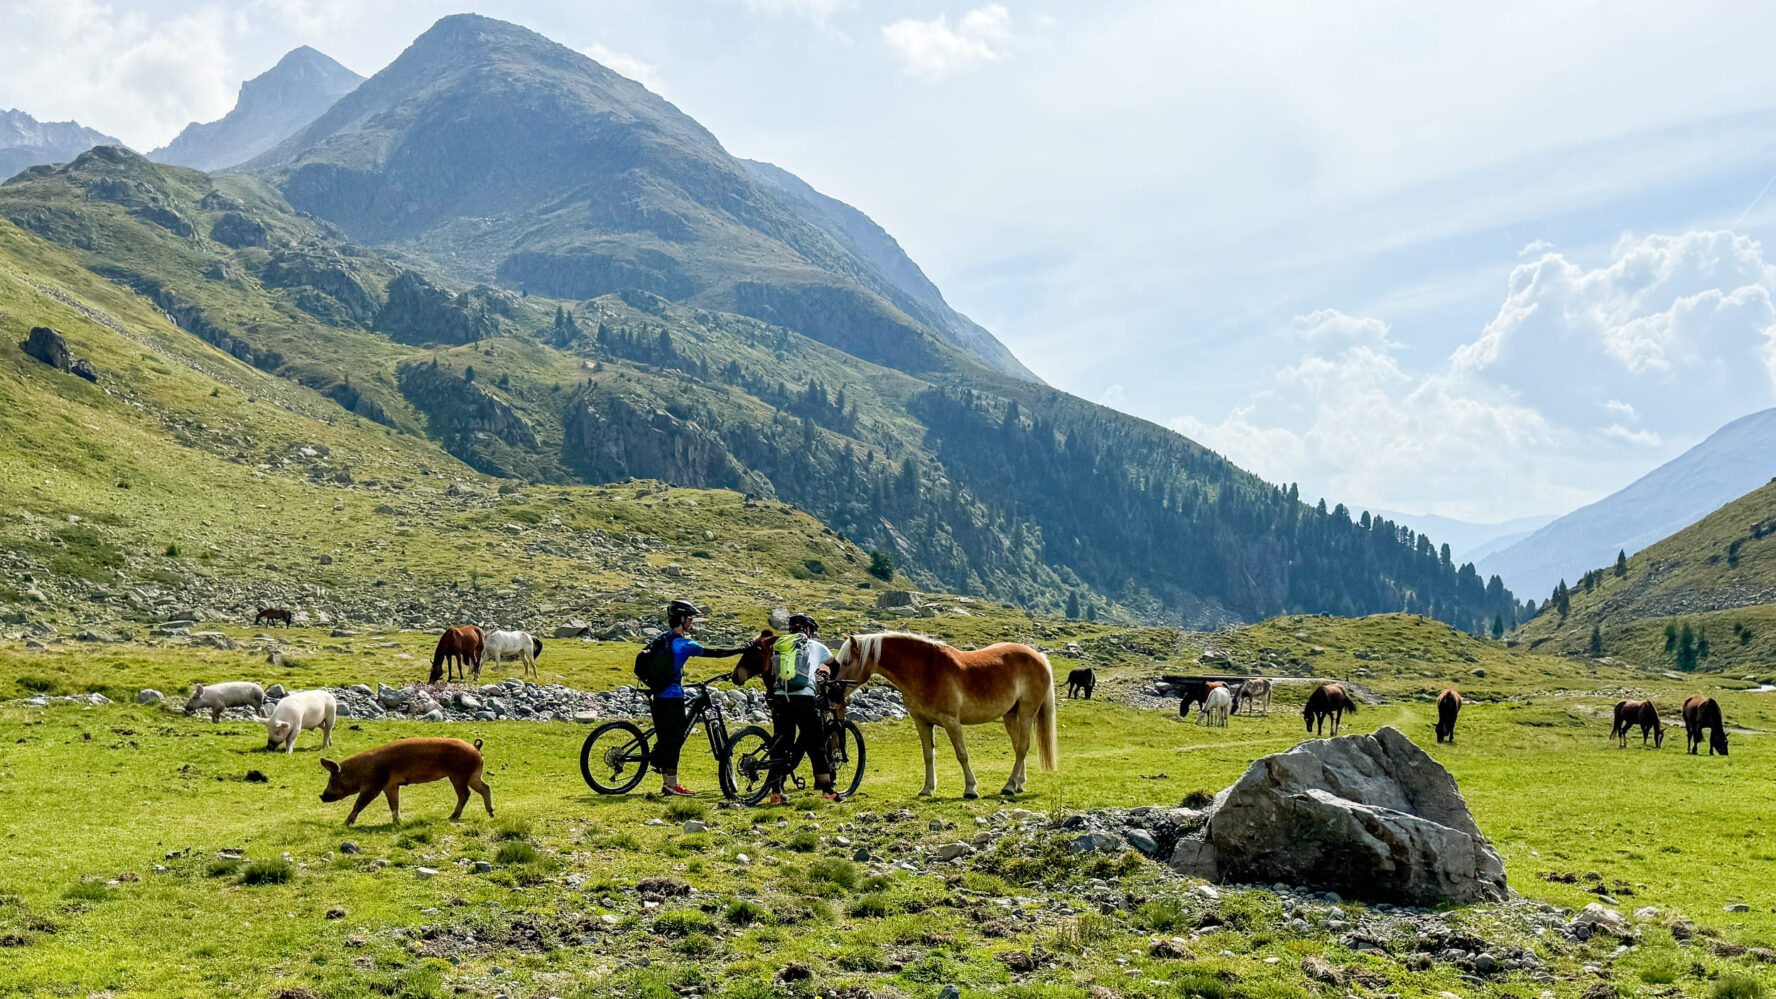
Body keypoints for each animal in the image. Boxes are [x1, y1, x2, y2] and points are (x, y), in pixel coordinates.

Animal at [319, 737, 493, 826]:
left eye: (332, 779)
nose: (321, 796)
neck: (360, 771)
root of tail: (476, 748)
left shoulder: (374, 785)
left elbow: (359, 804)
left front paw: (345, 823)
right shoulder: (391, 786)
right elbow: (394, 805)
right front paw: (397, 823)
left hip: (459, 776)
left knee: (465, 794)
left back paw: (452, 818)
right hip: (473, 775)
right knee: (485, 787)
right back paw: (491, 813)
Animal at [832, 632, 1057, 798]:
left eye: (846, 662)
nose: (834, 693)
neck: (925, 670)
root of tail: (1039, 657)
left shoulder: (951, 721)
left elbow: (962, 754)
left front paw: (970, 789)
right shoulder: (922, 722)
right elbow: (928, 755)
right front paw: (927, 789)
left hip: (1027, 711)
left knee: (1022, 747)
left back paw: (1009, 786)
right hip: (1010, 714)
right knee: (1019, 747)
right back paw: (1018, 783)